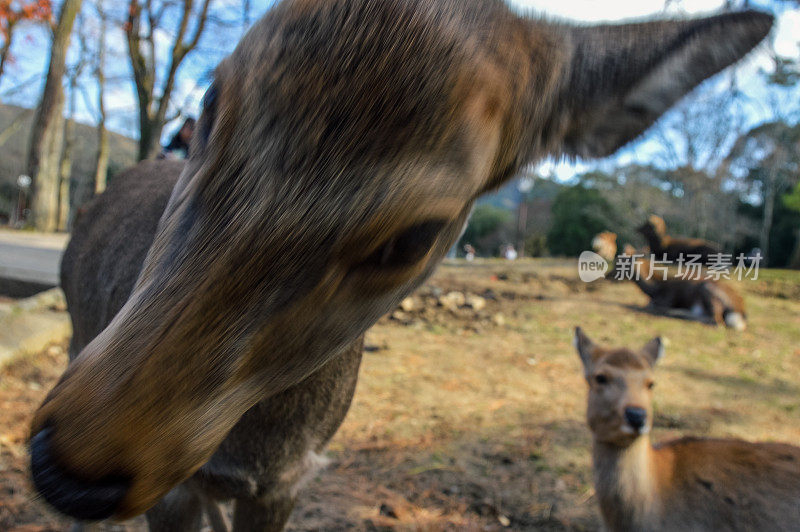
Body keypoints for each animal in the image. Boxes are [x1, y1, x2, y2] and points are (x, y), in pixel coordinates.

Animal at [620, 244, 752, 328]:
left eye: (624, 260)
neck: (654, 289)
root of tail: (741, 311)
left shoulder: (668, 299)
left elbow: (652, 306)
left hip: (708, 288)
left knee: (716, 321)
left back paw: (678, 313)